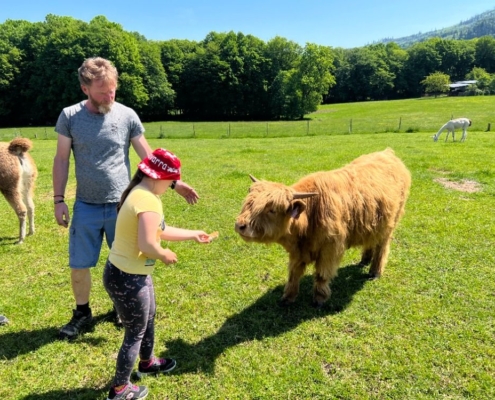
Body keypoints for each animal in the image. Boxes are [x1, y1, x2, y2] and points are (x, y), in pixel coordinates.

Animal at [234, 147, 412, 306]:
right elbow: (293, 273)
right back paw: (364, 260)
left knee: (382, 246)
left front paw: (319, 299)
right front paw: (288, 297)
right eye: (248, 202)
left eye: (272, 209)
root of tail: (388, 152)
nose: (240, 225)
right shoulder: (298, 252)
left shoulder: (330, 249)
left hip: (391, 223)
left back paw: (374, 272)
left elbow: (322, 274)